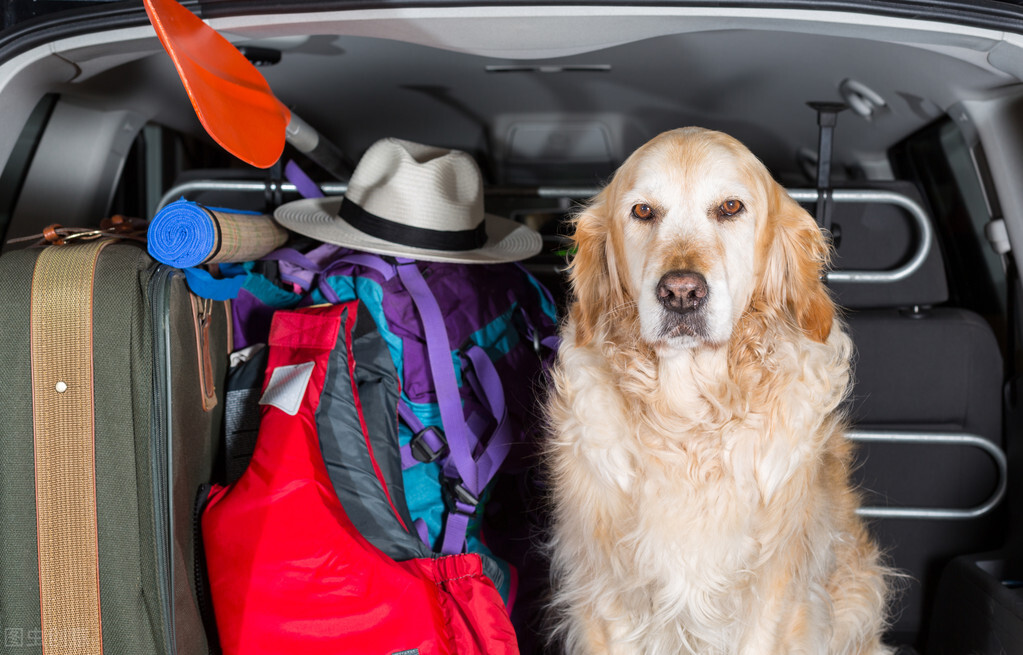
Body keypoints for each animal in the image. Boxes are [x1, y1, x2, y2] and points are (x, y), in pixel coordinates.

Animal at [548, 125, 892, 650]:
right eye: (642, 211)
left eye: (731, 207)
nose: (681, 293)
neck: (690, 417)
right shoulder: (607, 593)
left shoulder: (776, 590)